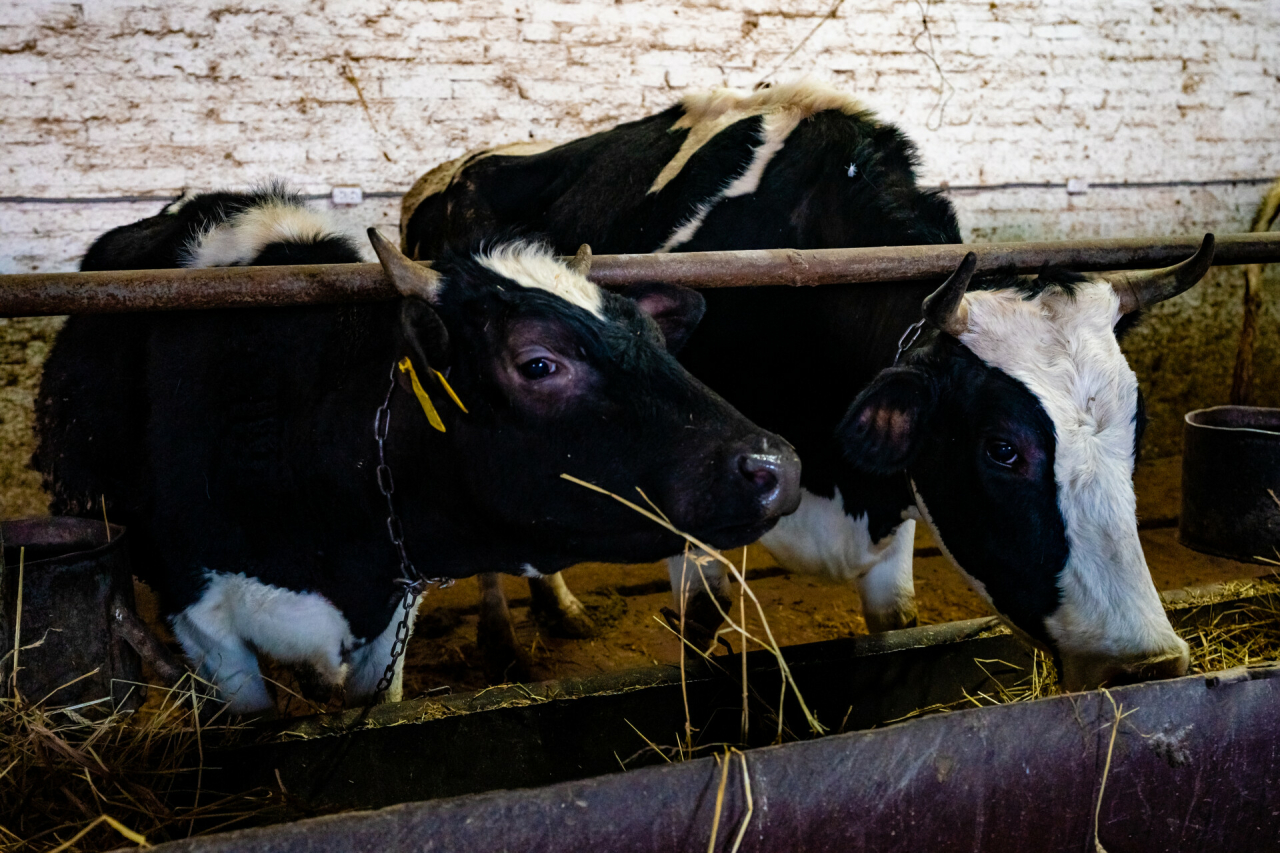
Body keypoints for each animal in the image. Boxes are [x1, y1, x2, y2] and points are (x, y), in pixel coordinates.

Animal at [401, 79, 1198, 691]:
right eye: (1003, 449)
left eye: (1138, 432)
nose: (1147, 662)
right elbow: (698, 631)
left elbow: (895, 626)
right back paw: (503, 642)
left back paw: (559, 609)